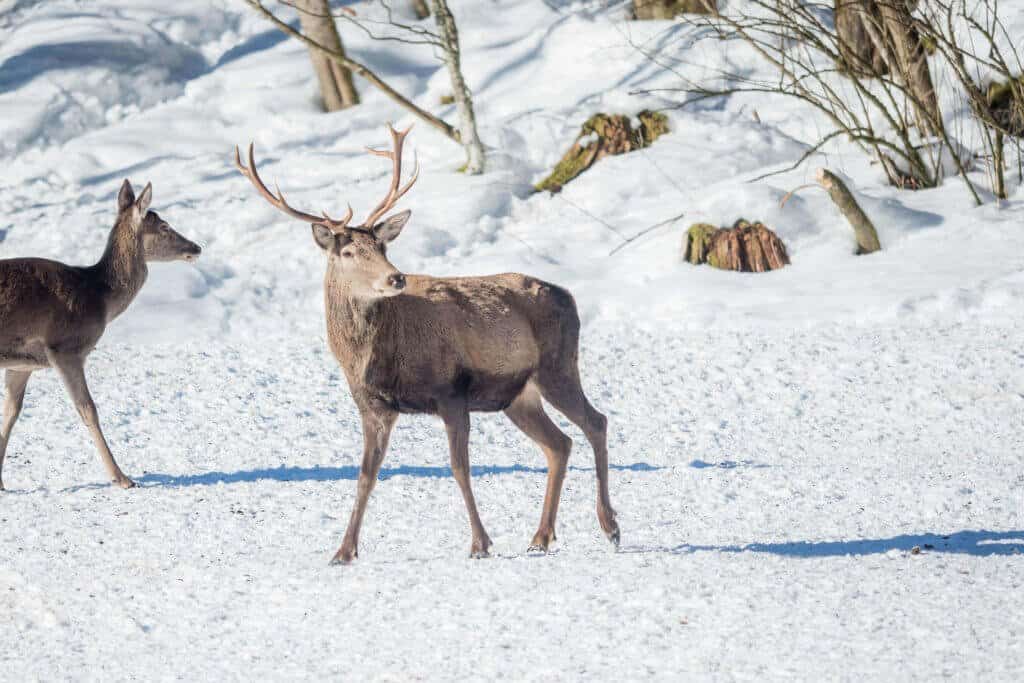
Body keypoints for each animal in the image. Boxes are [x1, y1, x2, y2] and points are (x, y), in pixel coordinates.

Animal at [0, 180, 201, 491]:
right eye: (165, 226)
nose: (197, 247)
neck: (101, 298)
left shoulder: (21, 364)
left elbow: (10, 414)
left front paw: (0, 482)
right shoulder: (65, 348)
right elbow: (88, 409)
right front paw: (122, 478)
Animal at [236, 125, 618, 565]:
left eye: (382, 247)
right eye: (347, 251)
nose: (396, 277)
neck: (371, 356)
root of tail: (569, 297)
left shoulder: (451, 391)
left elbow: (459, 468)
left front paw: (480, 543)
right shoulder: (374, 406)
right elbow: (366, 475)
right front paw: (343, 551)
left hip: (557, 367)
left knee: (596, 423)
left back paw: (610, 526)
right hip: (518, 396)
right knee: (559, 444)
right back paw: (541, 536)